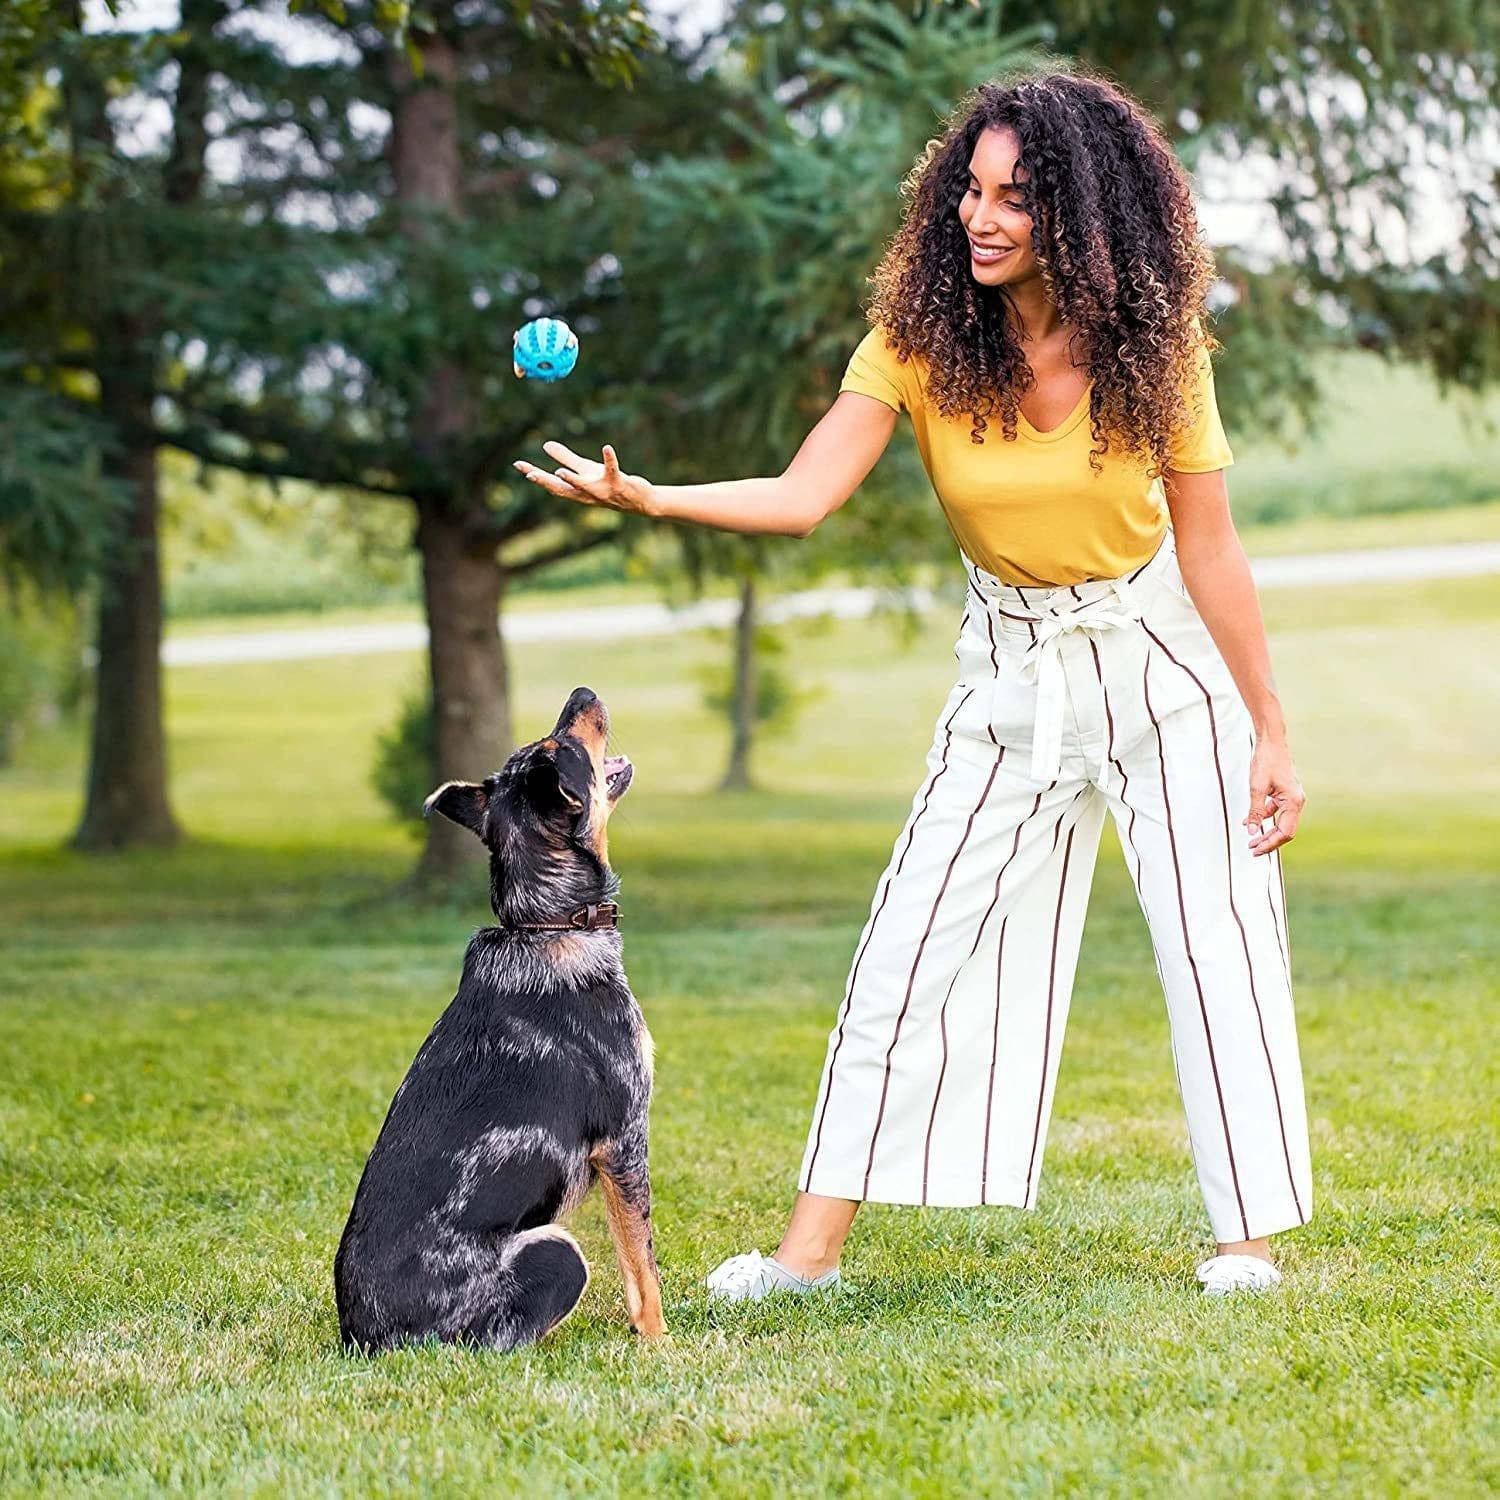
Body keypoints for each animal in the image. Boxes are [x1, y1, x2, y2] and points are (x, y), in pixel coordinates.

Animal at [331, 687, 666, 1356]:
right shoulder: (624, 1139)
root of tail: (369, 1342)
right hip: (558, 1249)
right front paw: (661, 1341)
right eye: (562, 745)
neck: (546, 923)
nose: (582, 693)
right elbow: (642, 1264)